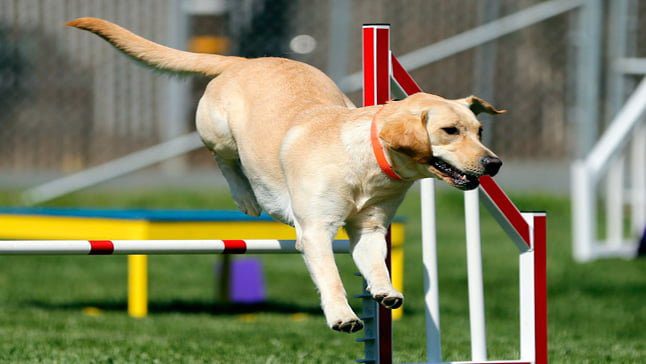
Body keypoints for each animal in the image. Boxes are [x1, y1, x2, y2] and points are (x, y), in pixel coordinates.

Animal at [69, 18, 506, 334]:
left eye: (479, 131)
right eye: (450, 131)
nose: (493, 164)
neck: (367, 161)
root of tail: (243, 61)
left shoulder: (370, 229)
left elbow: (378, 265)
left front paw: (385, 291)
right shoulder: (315, 232)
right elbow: (331, 276)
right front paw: (343, 316)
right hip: (218, 132)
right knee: (224, 161)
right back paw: (247, 197)